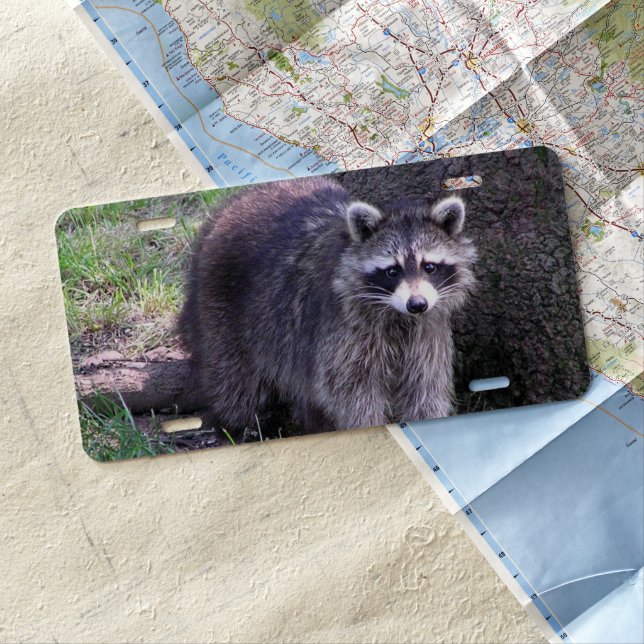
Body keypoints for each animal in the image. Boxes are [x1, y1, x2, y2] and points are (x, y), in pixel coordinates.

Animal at [178, 176, 476, 443]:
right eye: (392, 271)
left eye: (430, 267)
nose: (417, 304)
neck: (397, 315)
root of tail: (231, 205)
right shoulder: (343, 330)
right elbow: (350, 392)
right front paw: (368, 425)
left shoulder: (426, 331)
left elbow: (426, 386)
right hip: (222, 308)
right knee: (232, 382)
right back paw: (230, 428)